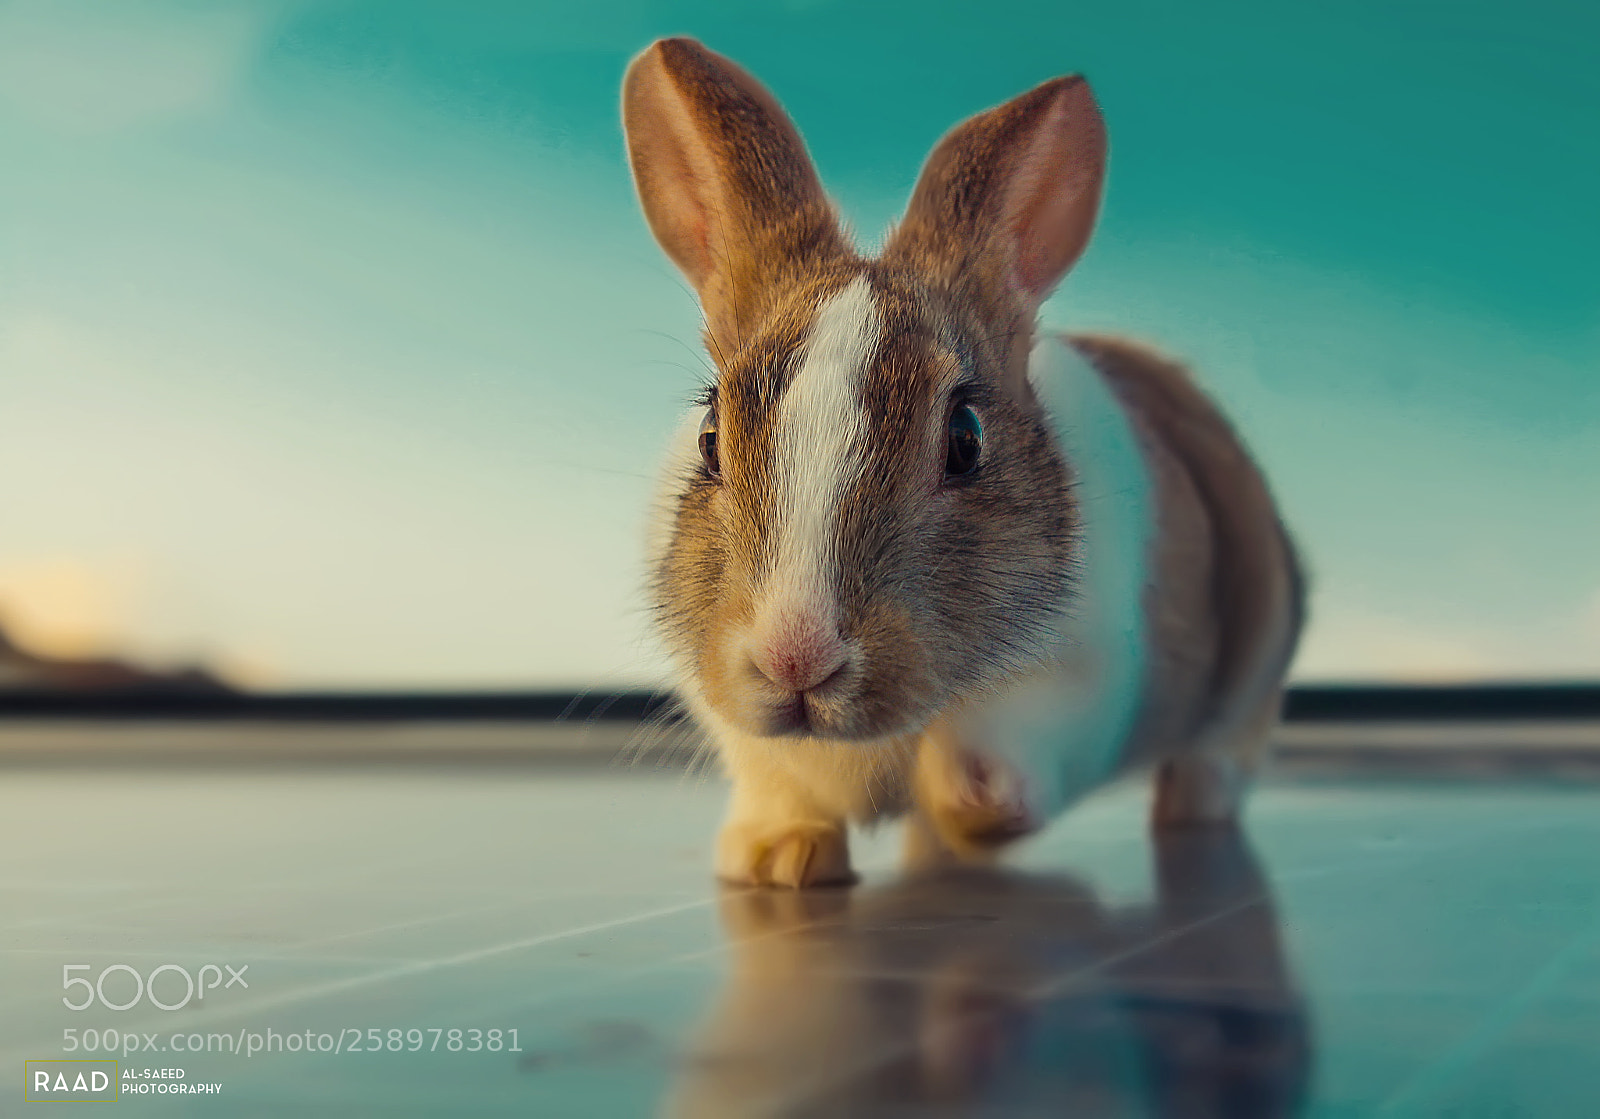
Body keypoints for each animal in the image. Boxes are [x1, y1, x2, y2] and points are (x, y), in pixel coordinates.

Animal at [622, 38, 1305, 888]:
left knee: (1217, 756)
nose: (795, 653)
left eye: (966, 438)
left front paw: (971, 798)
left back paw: (1183, 808)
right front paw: (778, 858)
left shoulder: (1084, 682)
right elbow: (779, 785)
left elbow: (1001, 745)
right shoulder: (746, 736)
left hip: (1255, 664)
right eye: (711, 436)